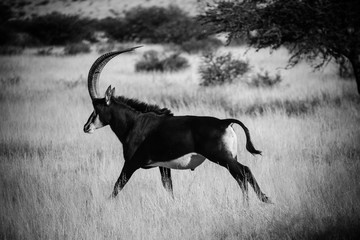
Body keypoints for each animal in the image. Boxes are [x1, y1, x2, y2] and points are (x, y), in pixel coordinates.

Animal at [83, 46, 270, 202]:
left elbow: (117, 186)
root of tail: (225, 122)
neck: (134, 123)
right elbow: (168, 187)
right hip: (229, 158)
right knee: (243, 175)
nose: (86, 127)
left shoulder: (131, 164)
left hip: (222, 158)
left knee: (243, 172)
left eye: (96, 107)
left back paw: (256, 202)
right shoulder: (163, 166)